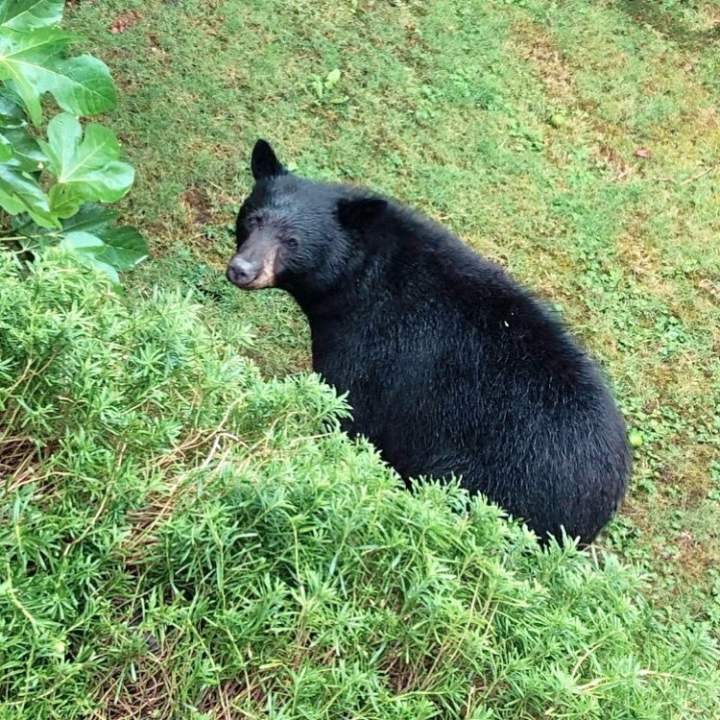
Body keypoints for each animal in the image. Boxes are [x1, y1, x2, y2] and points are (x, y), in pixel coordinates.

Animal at [226, 139, 631, 545]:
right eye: (253, 219)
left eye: (292, 241)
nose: (242, 269)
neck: (360, 282)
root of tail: (601, 503)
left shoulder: (375, 351)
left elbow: (349, 408)